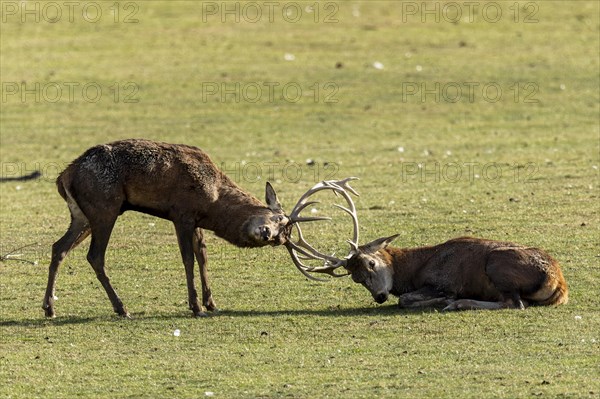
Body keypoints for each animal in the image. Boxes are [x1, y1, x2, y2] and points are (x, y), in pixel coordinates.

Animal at [44, 139, 354, 320]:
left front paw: (211, 303)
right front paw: (194, 306)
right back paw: (122, 308)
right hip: (105, 207)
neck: (213, 201)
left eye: (280, 239)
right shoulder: (181, 213)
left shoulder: (196, 222)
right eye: (279, 220)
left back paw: (50, 308)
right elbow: (188, 259)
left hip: (82, 215)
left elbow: (203, 257)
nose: (266, 233)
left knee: (59, 247)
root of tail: (64, 176)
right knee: (94, 255)